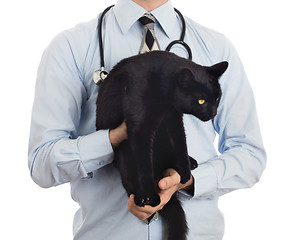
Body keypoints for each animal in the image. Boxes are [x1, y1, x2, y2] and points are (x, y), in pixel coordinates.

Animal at [94, 51, 227, 240]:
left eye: (217, 97)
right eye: (201, 101)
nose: (213, 113)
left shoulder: (174, 118)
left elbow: (181, 143)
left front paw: (185, 174)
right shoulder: (140, 127)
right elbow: (144, 163)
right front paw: (149, 197)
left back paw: (191, 162)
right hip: (124, 153)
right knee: (130, 180)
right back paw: (141, 197)